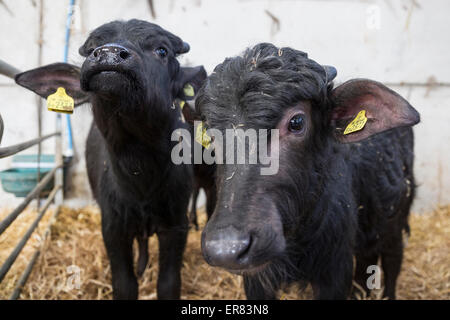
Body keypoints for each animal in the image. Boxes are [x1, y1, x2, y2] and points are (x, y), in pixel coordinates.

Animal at [14, 19, 208, 300]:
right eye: (94, 46)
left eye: (162, 50)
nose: (109, 54)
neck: (141, 174)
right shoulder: (113, 229)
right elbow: (125, 285)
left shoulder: (175, 226)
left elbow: (169, 283)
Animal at [199, 43, 420, 300]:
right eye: (210, 132)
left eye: (296, 122)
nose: (227, 248)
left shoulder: (335, 271)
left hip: (396, 220)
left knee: (393, 261)